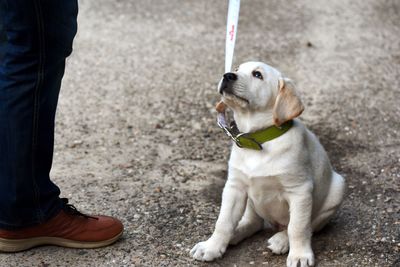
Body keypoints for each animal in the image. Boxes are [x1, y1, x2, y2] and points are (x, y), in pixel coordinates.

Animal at [190, 61, 344, 266]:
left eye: (257, 75)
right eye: (237, 69)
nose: (227, 75)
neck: (258, 140)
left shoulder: (300, 190)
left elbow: (298, 227)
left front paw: (300, 255)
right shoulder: (235, 187)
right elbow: (223, 222)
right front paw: (212, 246)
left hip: (337, 190)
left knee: (306, 226)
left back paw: (281, 240)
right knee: (253, 222)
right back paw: (235, 234)